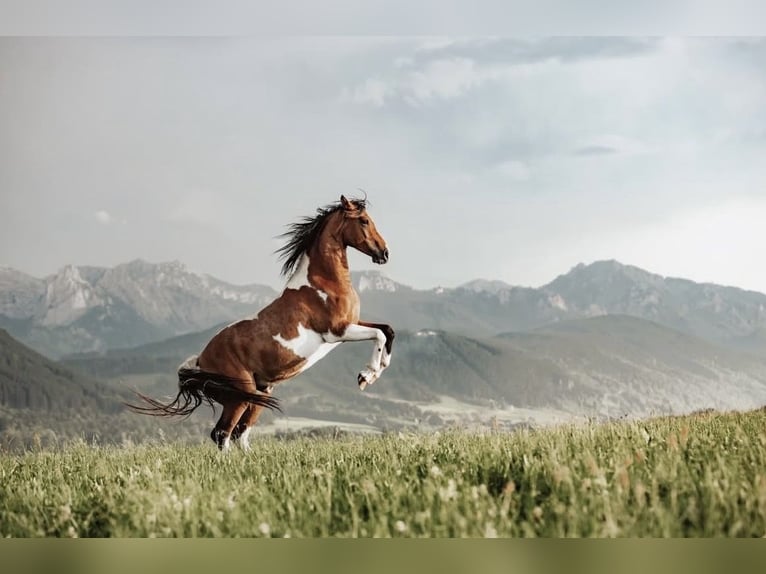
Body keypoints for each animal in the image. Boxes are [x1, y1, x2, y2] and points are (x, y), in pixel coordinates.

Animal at [127, 195, 394, 450]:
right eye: (364, 221)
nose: (384, 253)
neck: (322, 284)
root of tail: (201, 361)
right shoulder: (338, 331)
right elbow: (379, 335)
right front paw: (366, 376)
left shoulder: (353, 323)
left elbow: (387, 330)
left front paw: (378, 369)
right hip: (240, 396)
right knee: (222, 434)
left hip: (260, 394)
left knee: (239, 434)